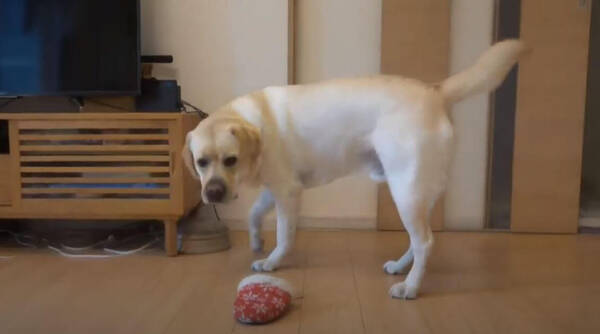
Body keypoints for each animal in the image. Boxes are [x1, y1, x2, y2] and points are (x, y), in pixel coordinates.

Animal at [183, 40, 524, 298]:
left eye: (230, 160)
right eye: (201, 162)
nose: (213, 192)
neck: (254, 124)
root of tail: (435, 90)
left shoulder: (288, 191)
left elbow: (284, 234)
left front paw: (272, 261)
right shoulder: (277, 188)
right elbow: (254, 214)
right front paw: (255, 242)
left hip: (405, 191)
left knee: (425, 242)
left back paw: (410, 287)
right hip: (417, 194)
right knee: (418, 242)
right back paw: (400, 268)